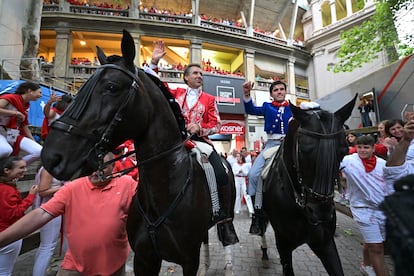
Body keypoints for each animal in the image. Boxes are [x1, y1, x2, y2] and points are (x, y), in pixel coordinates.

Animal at [42, 30, 238, 276]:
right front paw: (155, 57)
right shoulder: (144, 258)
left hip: (226, 218)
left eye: (112, 87)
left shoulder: (188, 259)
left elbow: (214, 121)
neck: (163, 193)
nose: (52, 156)